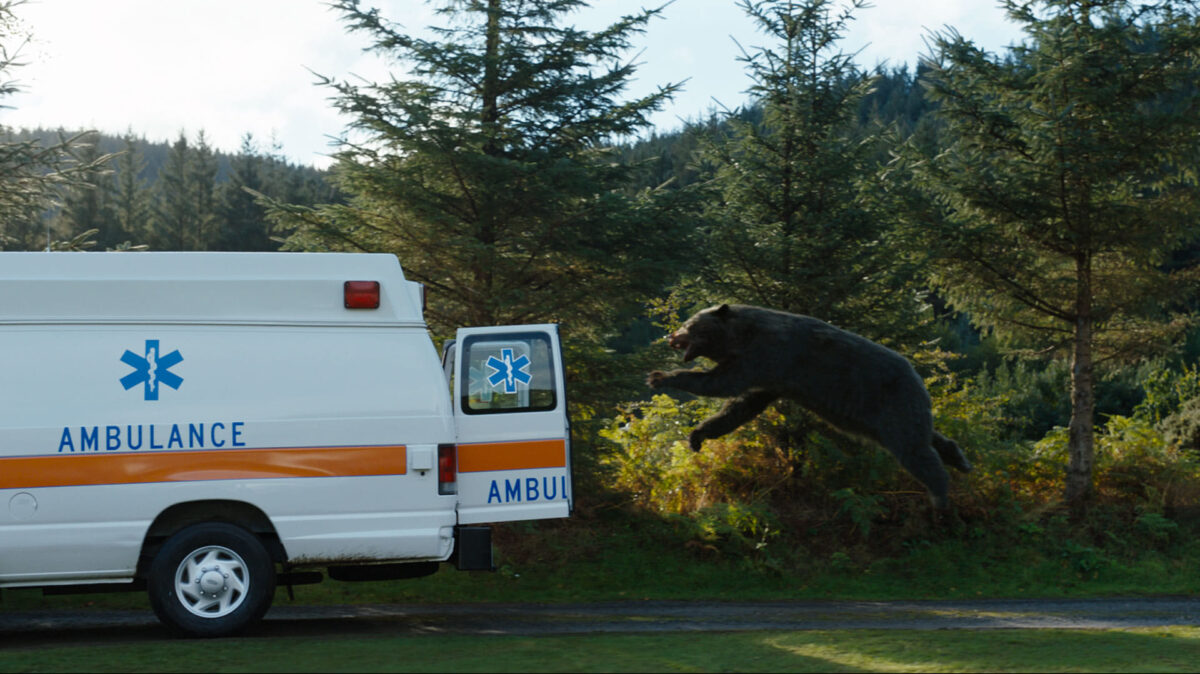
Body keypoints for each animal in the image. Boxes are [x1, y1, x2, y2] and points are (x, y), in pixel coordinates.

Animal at [646, 303, 972, 508]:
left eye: (689, 324)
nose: (671, 336)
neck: (742, 336)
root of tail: (920, 378)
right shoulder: (771, 380)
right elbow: (739, 407)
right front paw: (697, 436)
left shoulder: (767, 355)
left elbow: (721, 383)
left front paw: (660, 376)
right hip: (887, 417)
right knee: (927, 437)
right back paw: (960, 459)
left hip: (890, 403)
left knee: (915, 452)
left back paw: (940, 497)